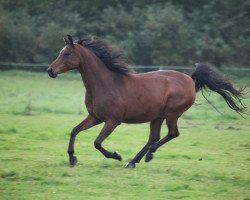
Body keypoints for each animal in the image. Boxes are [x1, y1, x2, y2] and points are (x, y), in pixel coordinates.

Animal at [47, 35, 245, 168]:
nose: (50, 70)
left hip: (172, 114)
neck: (106, 83)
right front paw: (72, 159)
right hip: (157, 116)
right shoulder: (95, 117)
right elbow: (74, 131)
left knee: (172, 134)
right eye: (61, 52)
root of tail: (190, 78)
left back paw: (147, 155)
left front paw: (116, 155)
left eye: (67, 53)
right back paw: (134, 161)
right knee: (154, 137)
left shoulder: (112, 121)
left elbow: (97, 143)